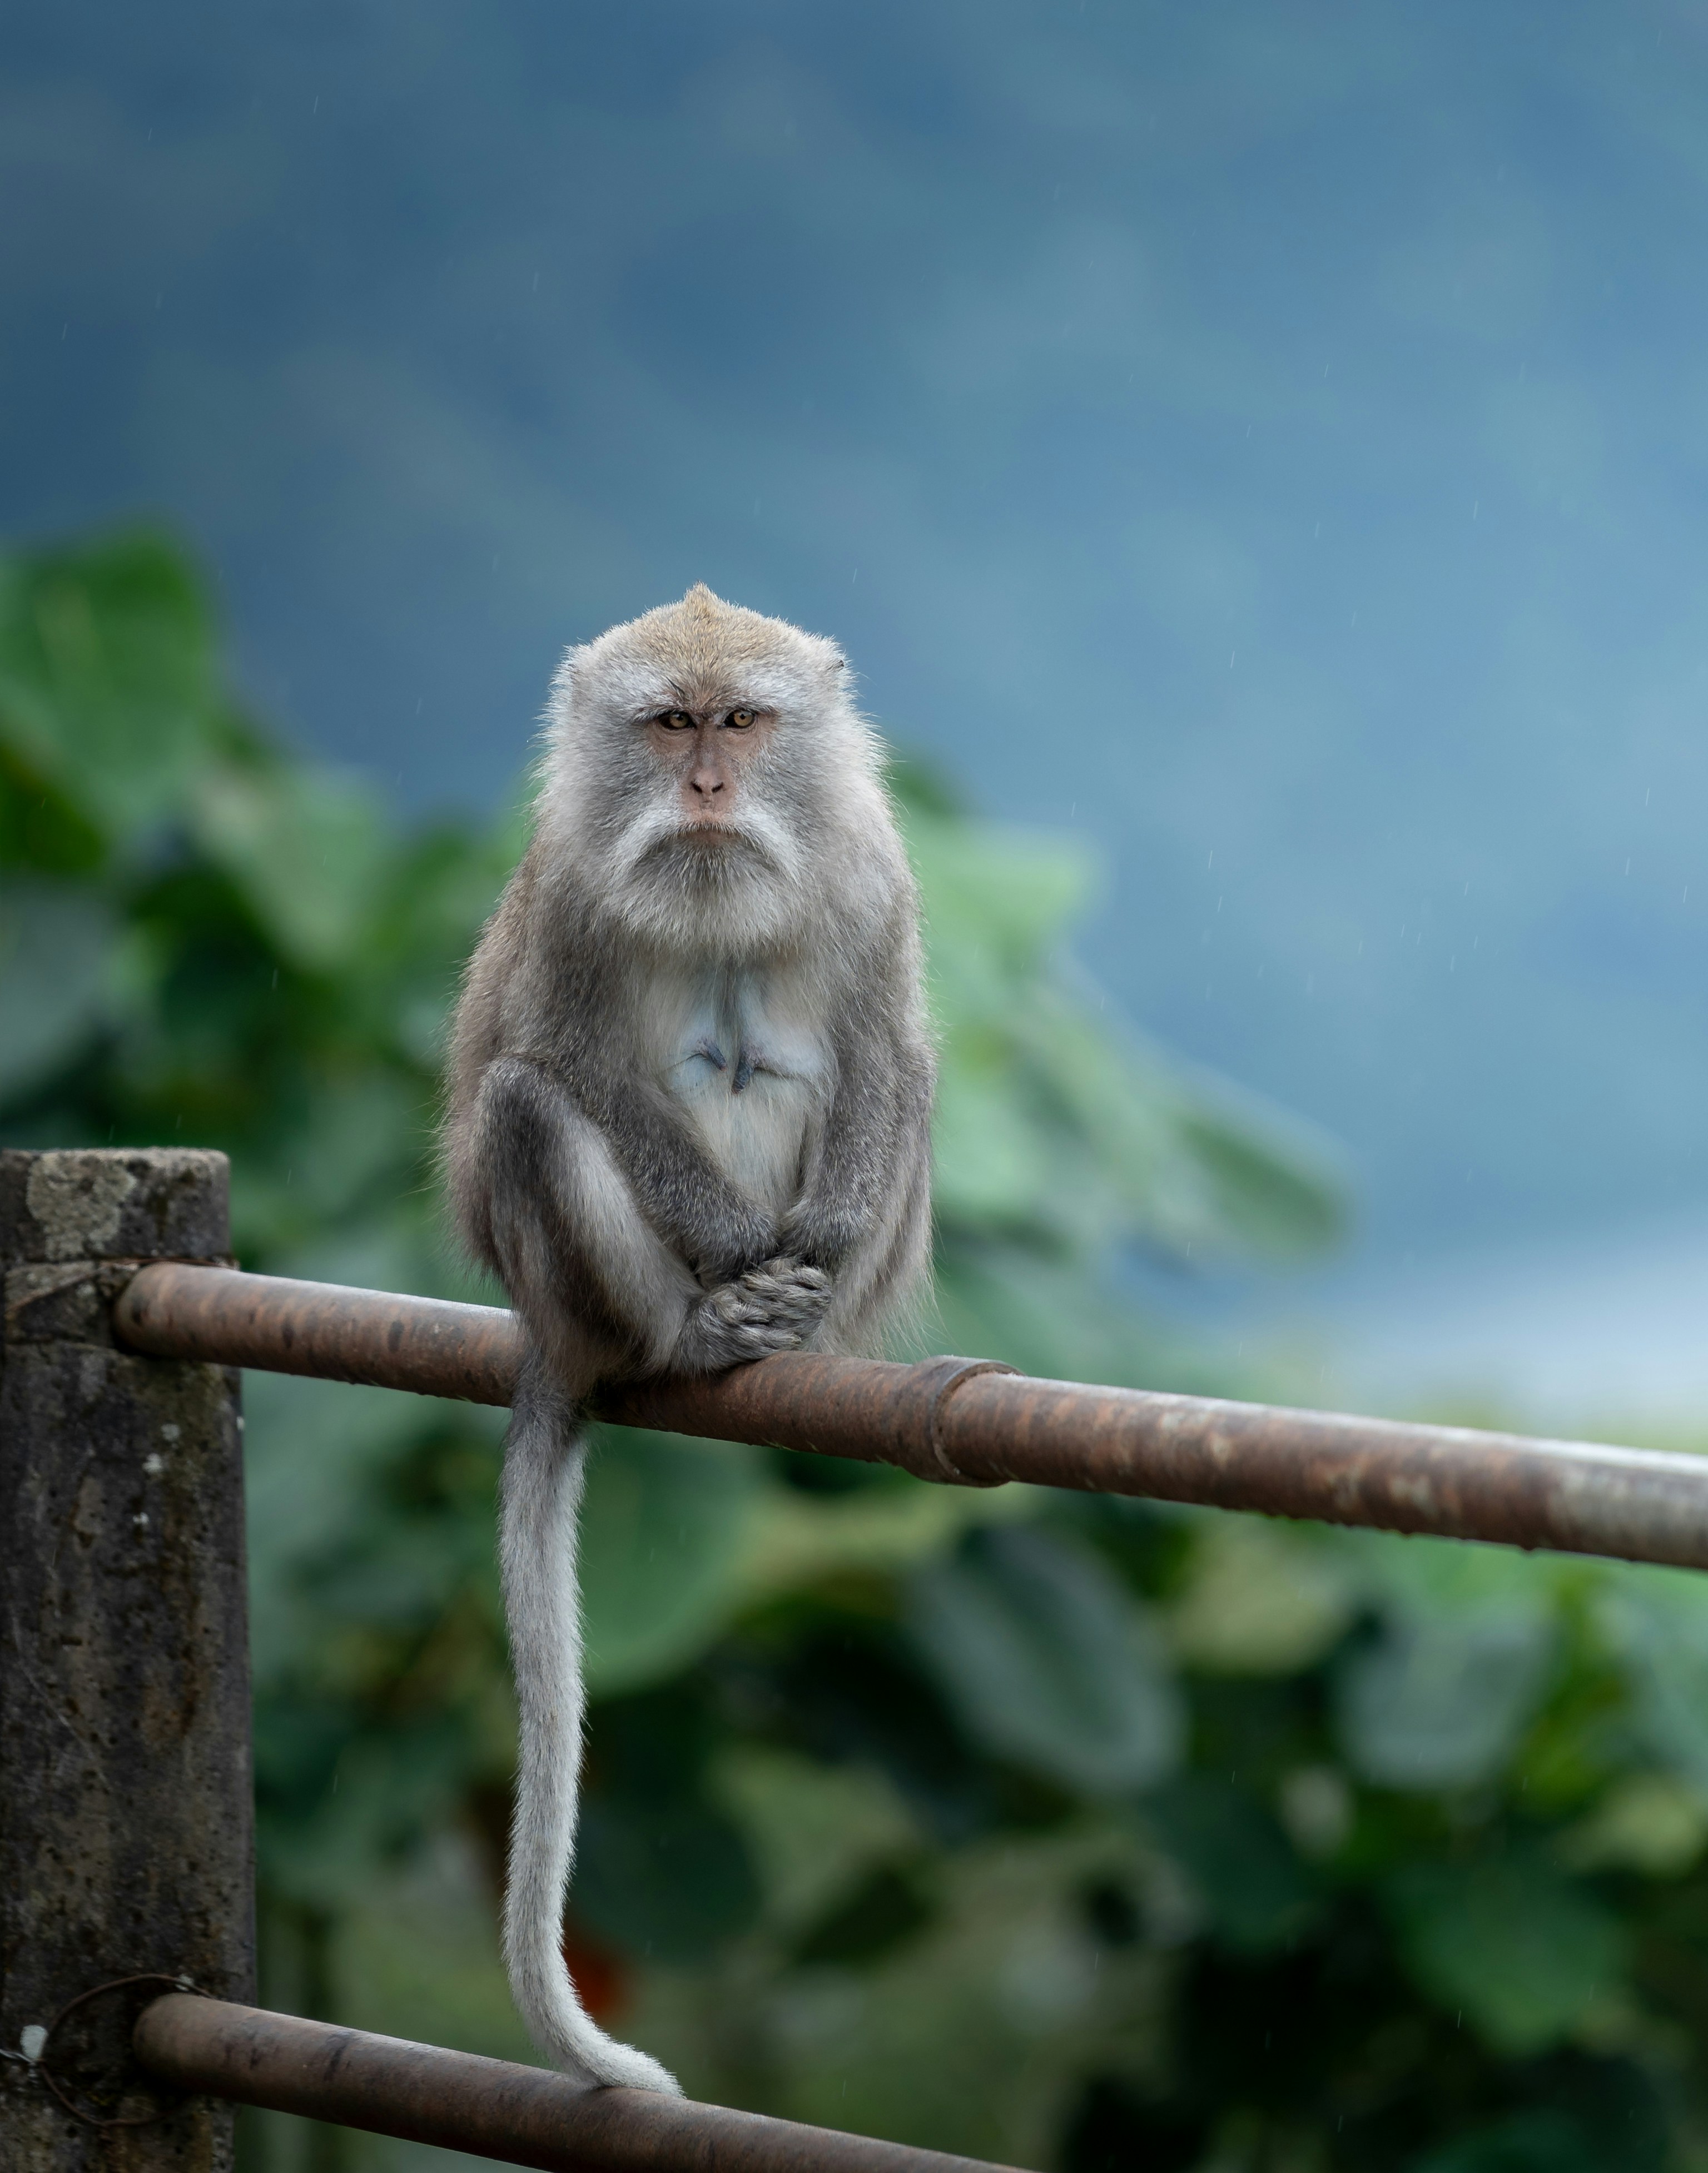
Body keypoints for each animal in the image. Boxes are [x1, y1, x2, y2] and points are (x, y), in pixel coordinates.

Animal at [443, 584, 934, 2093]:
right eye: (667, 724)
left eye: (742, 722)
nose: (708, 789)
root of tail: (553, 1328)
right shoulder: (565, 895)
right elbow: (574, 1064)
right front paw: (732, 1257)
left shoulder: (876, 877)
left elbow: (887, 1052)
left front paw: (807, 1241)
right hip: (583, 1287)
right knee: (524, 1101)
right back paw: (703, 1332)